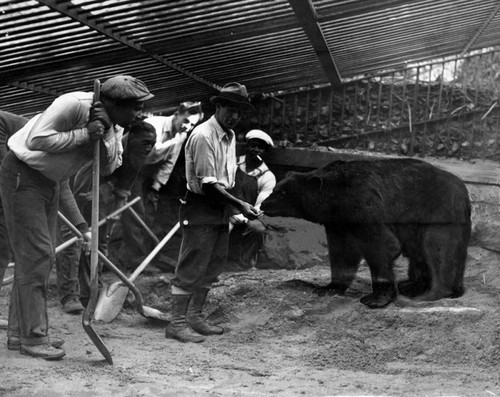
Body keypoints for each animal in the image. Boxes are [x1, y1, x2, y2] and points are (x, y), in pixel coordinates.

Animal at [262, 156, 472, 308]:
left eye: (282, 194)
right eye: (275, 189)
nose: (263, 204)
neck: (334, 197)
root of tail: (464, 191)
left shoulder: (363, 205)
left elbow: (383, 244)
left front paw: (375, 299)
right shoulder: (338, 221)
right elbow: (342, 252)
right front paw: (327, 288)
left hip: (439, 211)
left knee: (438, 248)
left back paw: (431, 293)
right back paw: (411, 285)